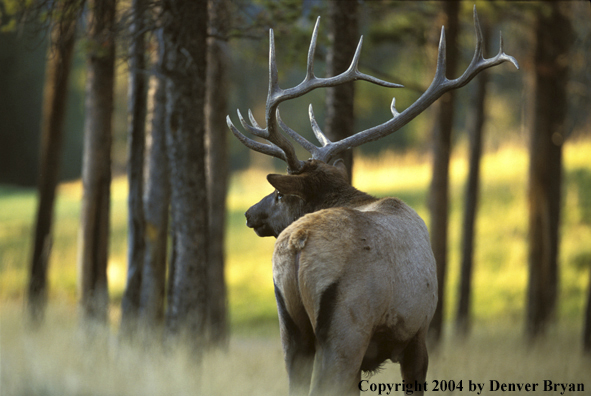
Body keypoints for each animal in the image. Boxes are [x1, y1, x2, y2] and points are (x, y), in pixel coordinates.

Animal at [227, 6, 520, 396]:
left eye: (277, 194)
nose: (249, 213)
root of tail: (298, 244)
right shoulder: (418, 334)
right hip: (348, 326)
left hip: (290, 325)